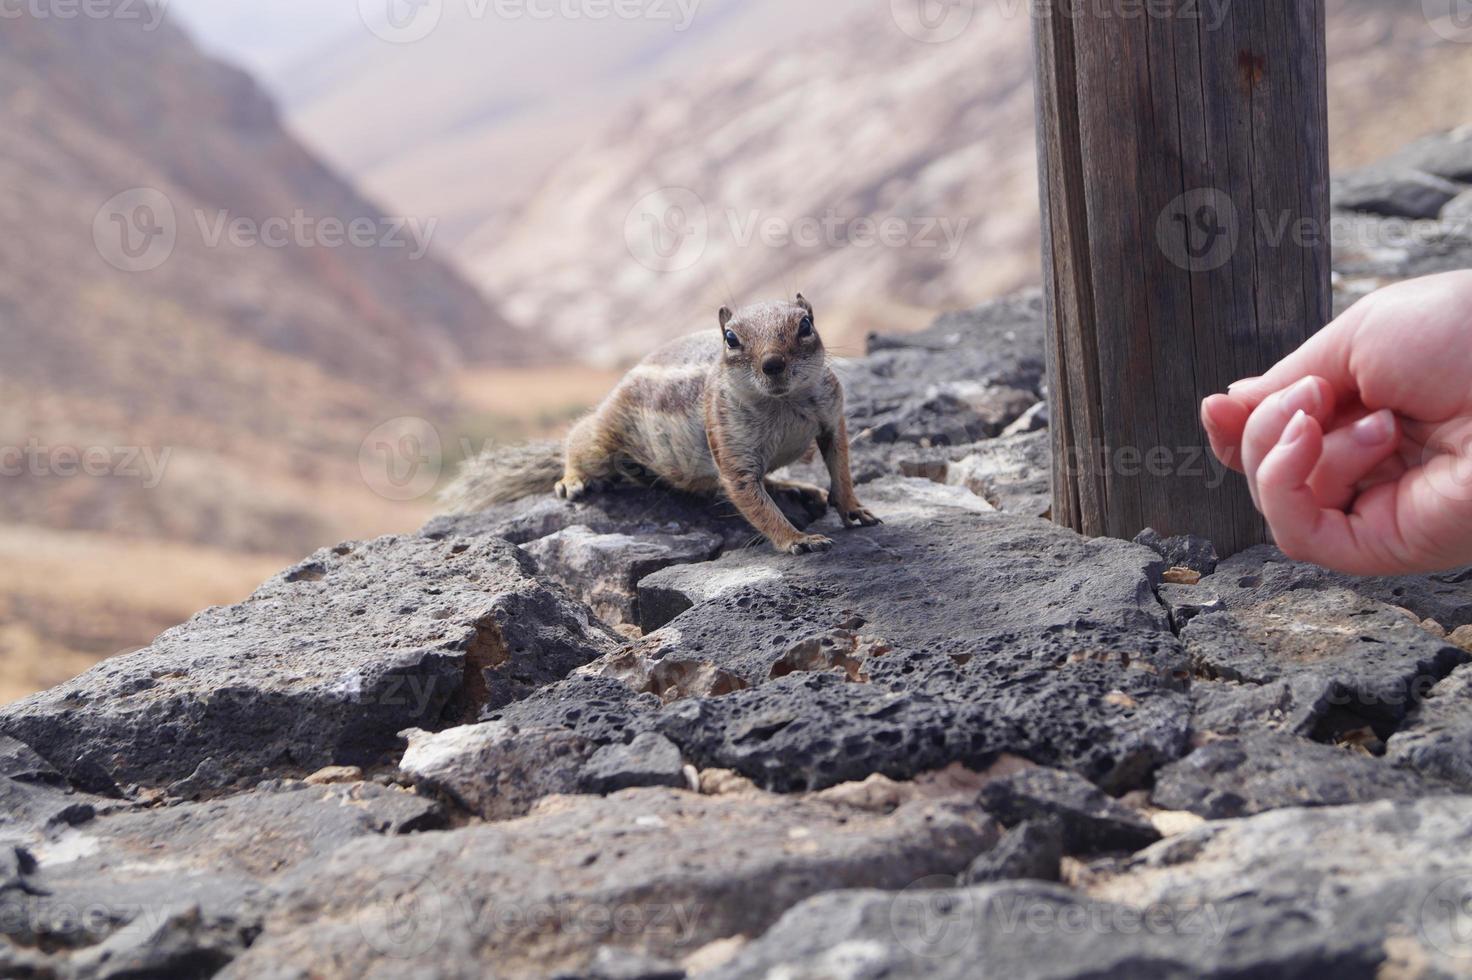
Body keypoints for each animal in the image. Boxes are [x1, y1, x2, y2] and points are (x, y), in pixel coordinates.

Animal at [441, 289, 877, 553]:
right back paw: (571, 480)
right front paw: (796, 538)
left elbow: (840, 466)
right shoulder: (729, 444)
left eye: (805, 325)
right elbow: (754, 503)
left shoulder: (831, 418)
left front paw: (854, 509)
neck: (782, 402)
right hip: (604, 437)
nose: (772, 364)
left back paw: (794, 487)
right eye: (731, 339)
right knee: (579, 441)